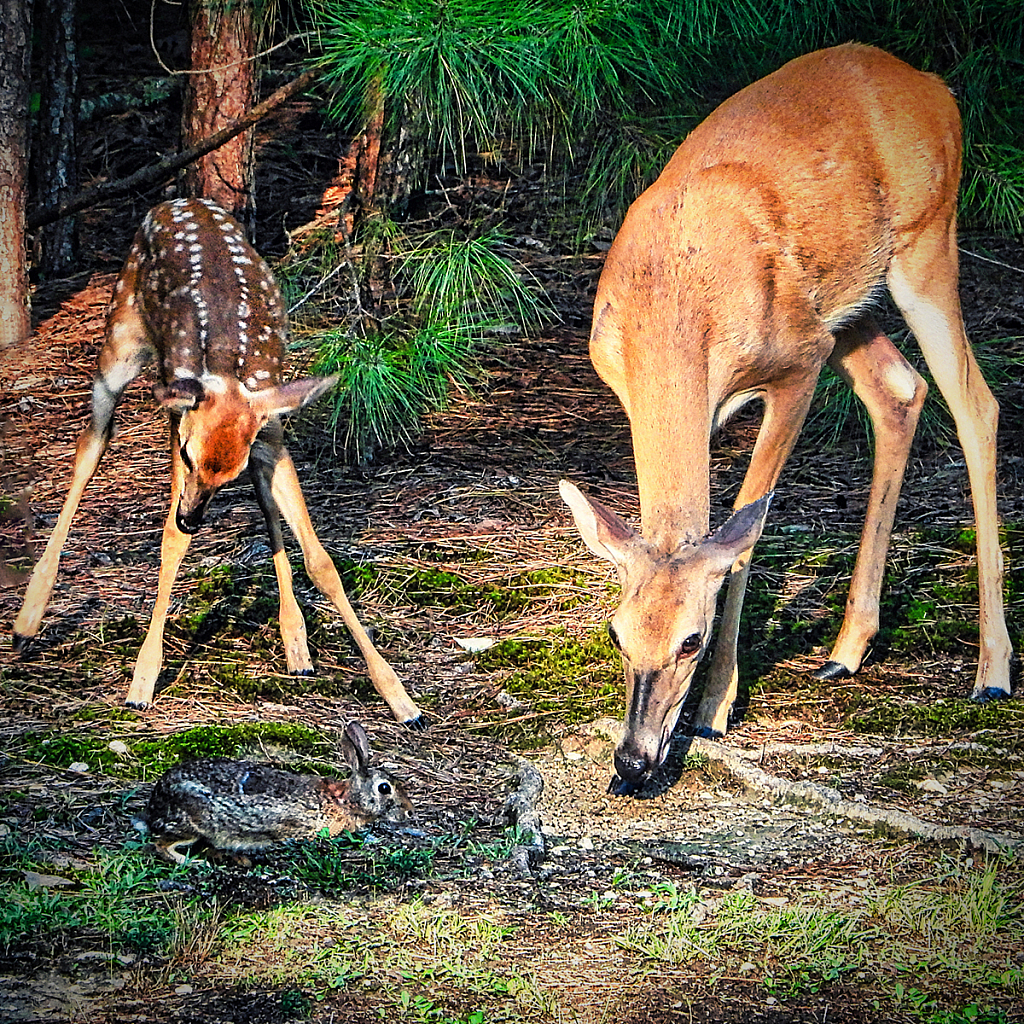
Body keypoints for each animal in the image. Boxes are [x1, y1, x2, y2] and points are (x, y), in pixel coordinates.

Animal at [12, 197, 419, 729]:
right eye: (188, 454)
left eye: (230, 474)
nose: (192, 517)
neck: (228, 369)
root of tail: (178, 200)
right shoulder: (177, 426)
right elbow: (169, 544)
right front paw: (142, 681)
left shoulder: (269, 433)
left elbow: (320, 559)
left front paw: (400, 698)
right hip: (119, 338)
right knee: (91, 445)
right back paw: (27, 620)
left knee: (266, 508)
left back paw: (297, 646)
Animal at [139, 720, 411, 864]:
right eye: (384, 788)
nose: (409, 812)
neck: (343, 801)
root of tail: (155, 804)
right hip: (193, 825)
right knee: (161, 845)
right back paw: (193, 861)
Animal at [561, 41, 1015, 790]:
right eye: (617, 632)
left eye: (692, 639)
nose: (633, 759)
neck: (672, 310)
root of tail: (932, 85)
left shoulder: (798, 362)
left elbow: (747, 533)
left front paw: (715, 708)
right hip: (847, 305)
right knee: (899, 390)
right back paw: (846, 649)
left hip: (924, 243)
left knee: (976, 402)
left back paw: (993, 670)